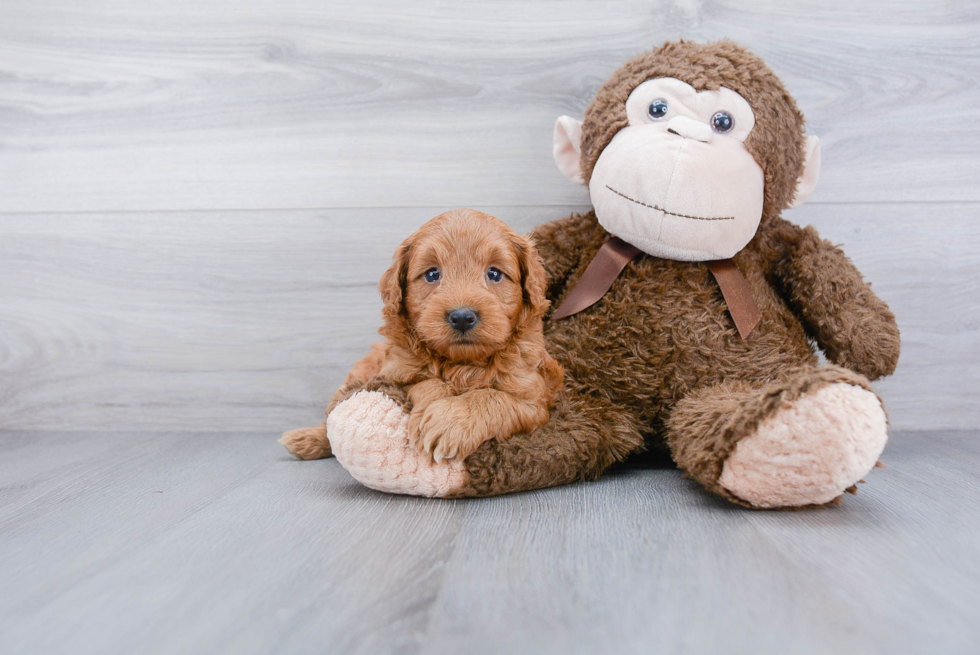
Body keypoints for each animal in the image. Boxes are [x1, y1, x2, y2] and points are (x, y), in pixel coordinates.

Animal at [280, 208, 564, 464]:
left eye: (494, 273)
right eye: (432, 274)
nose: (462, 317)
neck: (462, 363)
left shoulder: (532, 399)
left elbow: (491, 398)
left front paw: (449, 422)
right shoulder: (396, 374)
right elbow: (428, 383)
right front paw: (435, 410)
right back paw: (307, 439)